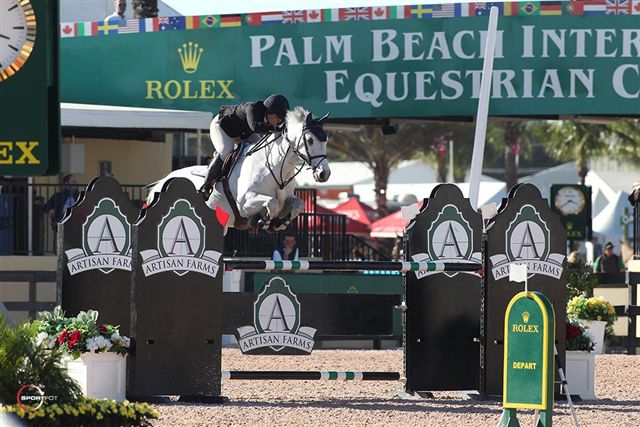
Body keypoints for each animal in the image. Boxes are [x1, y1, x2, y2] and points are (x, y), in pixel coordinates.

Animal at [148, 107, 332, 234]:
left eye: (326, 140)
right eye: (310, 140)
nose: (324, 174)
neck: (276, 167)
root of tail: (163, 181)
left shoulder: (288, 198)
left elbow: (299, 204)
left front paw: (279, 223)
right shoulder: (244, 204)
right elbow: (272, 203)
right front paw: (260, 222)